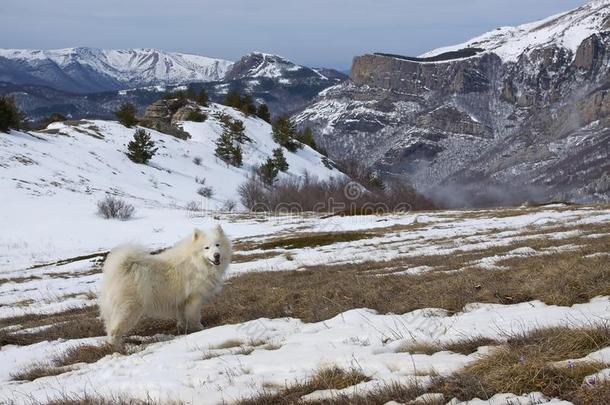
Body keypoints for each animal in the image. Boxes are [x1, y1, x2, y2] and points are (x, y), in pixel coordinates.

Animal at [98, 224, 232, 348]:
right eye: (206, 247)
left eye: (218, 245)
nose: (216, 255)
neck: (196, 262)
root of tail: (121, 268)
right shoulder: (195, 298)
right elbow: (194, 316)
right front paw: (200, 328)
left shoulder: (182, 301)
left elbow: (182, 317)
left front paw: (184, 328)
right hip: (128, 310)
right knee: (114, 332)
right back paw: (119, 348)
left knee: (109, 329)